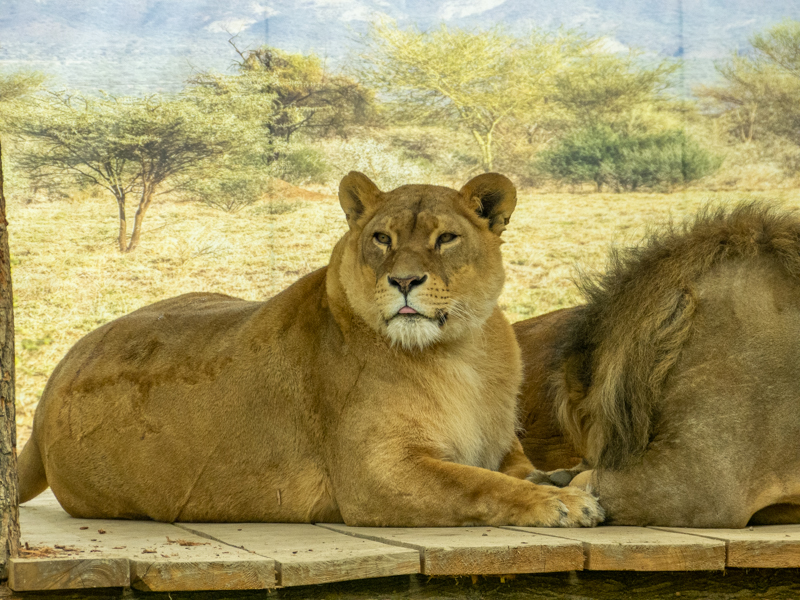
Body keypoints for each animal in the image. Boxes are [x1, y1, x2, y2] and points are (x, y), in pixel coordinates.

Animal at [17, 171, 603, 527]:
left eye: (446, 239)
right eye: (383, 238)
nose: (404, 281)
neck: (462, 351)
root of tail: (46, 396)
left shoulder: (500, 445)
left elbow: (511, 470)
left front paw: (564, 479)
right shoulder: (376, 477)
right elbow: (480, 486)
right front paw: (561, 502)